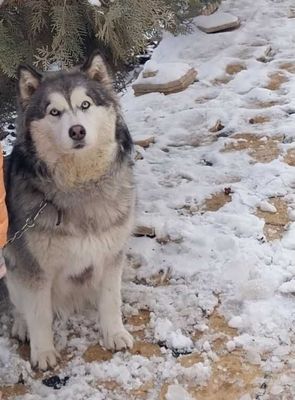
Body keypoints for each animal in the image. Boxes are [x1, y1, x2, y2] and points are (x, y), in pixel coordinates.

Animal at [3, 51, 135, 370]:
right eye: (54, 112)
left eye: (85, 105)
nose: (77, 131)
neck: (79, 185)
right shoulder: (32, 267)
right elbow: (38, 314)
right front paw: (43, 353)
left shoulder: (112, 254)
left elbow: (111, 299)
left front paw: (114, 333)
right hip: (11, 264)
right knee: (20, 305)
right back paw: (22, 325)